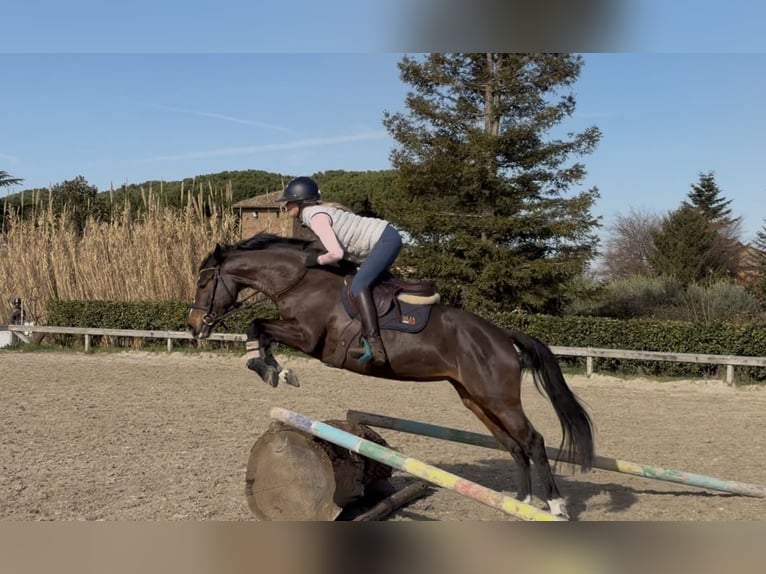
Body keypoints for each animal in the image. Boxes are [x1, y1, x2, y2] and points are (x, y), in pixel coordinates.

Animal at [187, 233, 594, 519]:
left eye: (204, 283)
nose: (194, 327)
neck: (300, 280)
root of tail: (502, 336)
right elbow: (258, 330)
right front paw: (273, 369)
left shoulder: (308, 337)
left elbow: (256, 325)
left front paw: (274, 370)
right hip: (475, 398)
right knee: (514, 445)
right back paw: (522, 502)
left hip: (498, 396)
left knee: (533, 441)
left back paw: (556, 506)